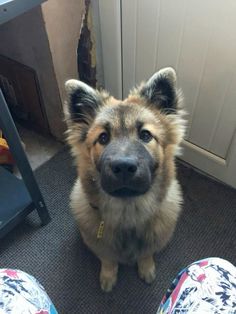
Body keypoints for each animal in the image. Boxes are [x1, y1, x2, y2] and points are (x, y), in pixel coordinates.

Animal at [63, 68, 185, 292]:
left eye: (145, 135)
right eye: (103, 138)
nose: (124, 167)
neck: (128, 213)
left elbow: (146, 254)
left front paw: (146, 268)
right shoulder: (100, 246)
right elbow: (108, 259)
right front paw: (108, 276)